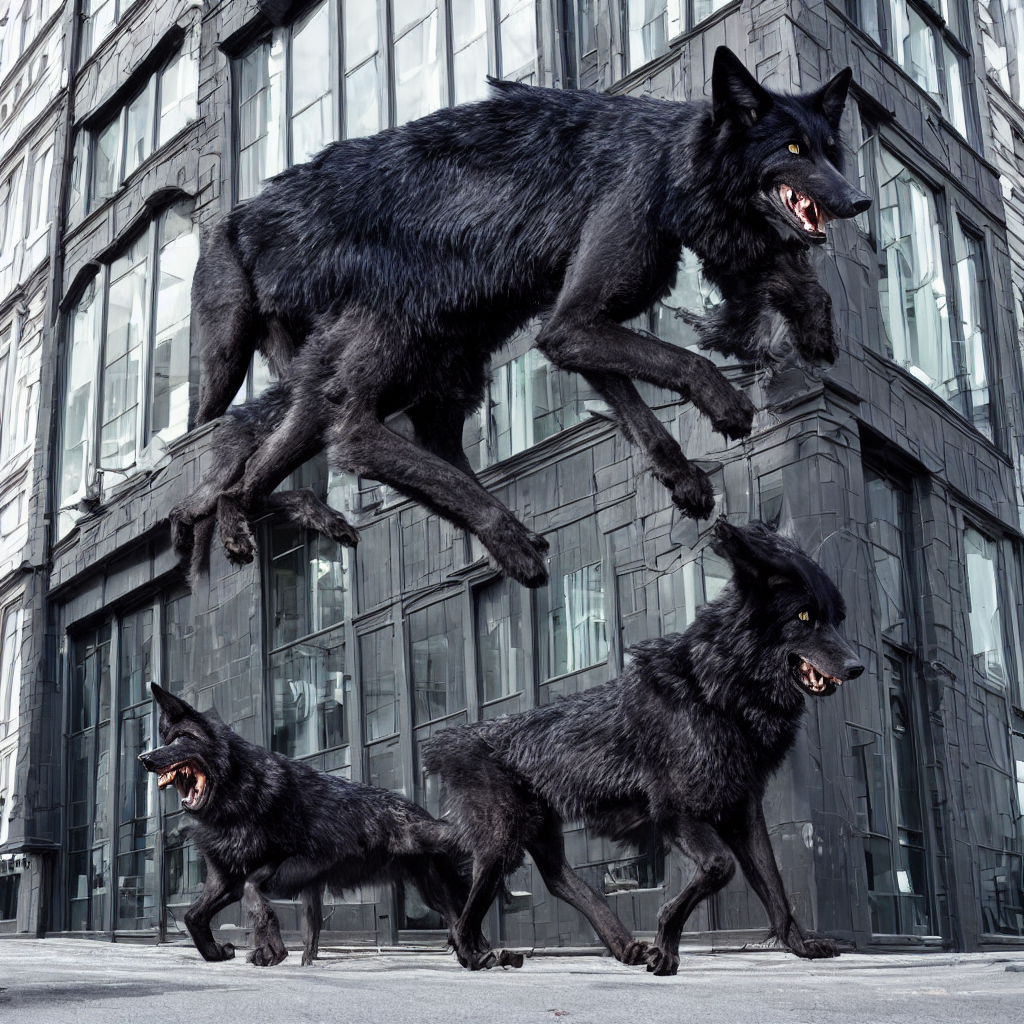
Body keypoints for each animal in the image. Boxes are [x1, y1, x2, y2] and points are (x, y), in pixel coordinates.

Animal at [138, 683, 474, 967]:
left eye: (184, 739)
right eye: (166, 741)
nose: (144, 758)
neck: (239, 796)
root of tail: (419, 810)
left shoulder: (298, 864)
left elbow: (252, 891)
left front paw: (270, 948)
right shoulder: (224, 879)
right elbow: (194, 917)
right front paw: (218, 951)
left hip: (428, 888)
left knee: (457, 912)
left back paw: (473, 950)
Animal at [170, 46, 870, 587]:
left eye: (831, 150)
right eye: (793, 147)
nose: (860, 200)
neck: (668, 161)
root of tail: (237, 220)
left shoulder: (572, 324)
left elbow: (633, 401)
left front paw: (685, 478)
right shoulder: (575, 320)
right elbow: (682, 361)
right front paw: (726, 405)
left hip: (425, 374)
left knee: (282, 450)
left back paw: (245, 517)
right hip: (355, 352)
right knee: (328, 436)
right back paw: (504, 537)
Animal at [421, 520, 865, 973]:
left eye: (836, 619)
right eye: (804, 616)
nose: (857, 667)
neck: (716, 690)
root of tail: (447, 740)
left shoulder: (743, 808)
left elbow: (773, 882)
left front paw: (801, 944)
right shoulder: (675, 809)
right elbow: (720, 867)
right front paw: (666, 943)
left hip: (538, 830)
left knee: (558, 878)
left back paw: (623, 946)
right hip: (502, 839)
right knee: (474, 904)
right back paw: (477, 953)